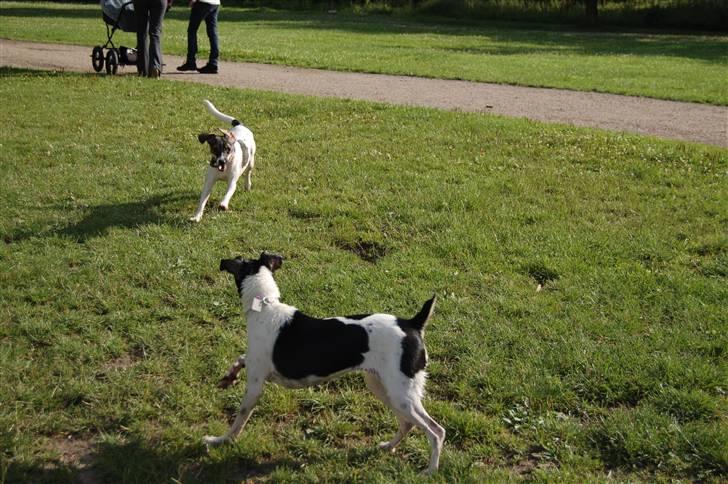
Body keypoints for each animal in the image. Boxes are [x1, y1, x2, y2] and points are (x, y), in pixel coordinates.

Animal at [202, 253, 446, 472]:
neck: (264, 306)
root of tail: (413, 324)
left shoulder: (255, 385)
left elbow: (239, 420)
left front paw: (219, 440)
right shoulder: (256, 366)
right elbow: (240, 359)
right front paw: (228, 377)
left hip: (402, 395)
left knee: (436, 431)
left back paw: (430, 470)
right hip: (383, 387)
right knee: (407, 423)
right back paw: (388, 446)